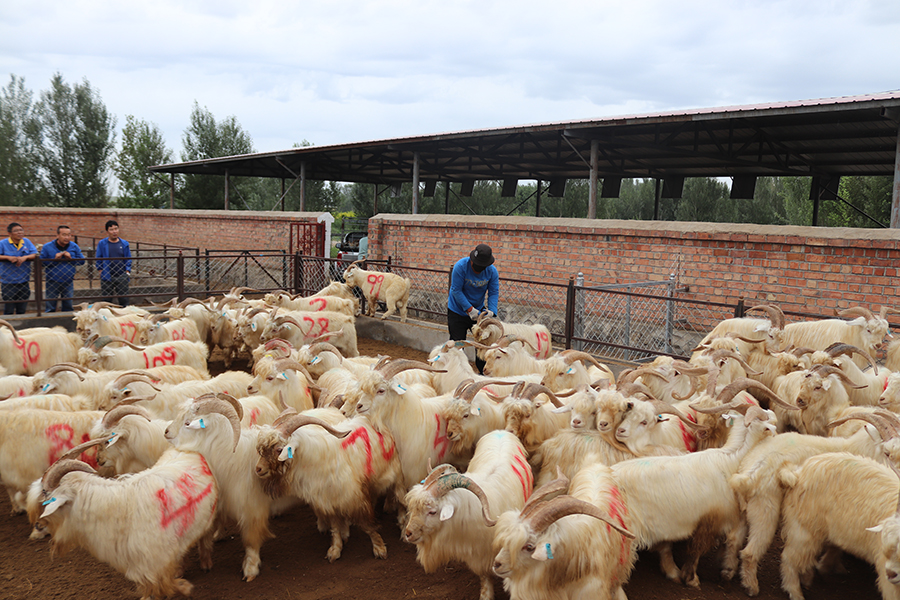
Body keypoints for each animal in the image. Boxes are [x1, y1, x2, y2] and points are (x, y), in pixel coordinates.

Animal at [29, 450, 217, 600]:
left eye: (45, 496)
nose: (37, 524)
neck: (118, 509)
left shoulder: (154, 563)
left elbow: (164, 586)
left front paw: (185, 588)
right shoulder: (142, 565)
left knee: (205, 537)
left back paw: (206, 564)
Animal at [255, 408, 402, 562]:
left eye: (279, 449)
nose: (258, 469)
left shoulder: (354, 498)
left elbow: (367, 524)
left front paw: (380, 549)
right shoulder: (329, 500)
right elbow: (335, 526)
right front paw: (335, 550)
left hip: (397, 475)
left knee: (401, 499)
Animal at [404, 431, 533, 600]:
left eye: (432, 511)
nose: (408, 533)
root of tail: (500, 431)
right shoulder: (479, 556)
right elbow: (485, 578)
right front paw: (486, 596)